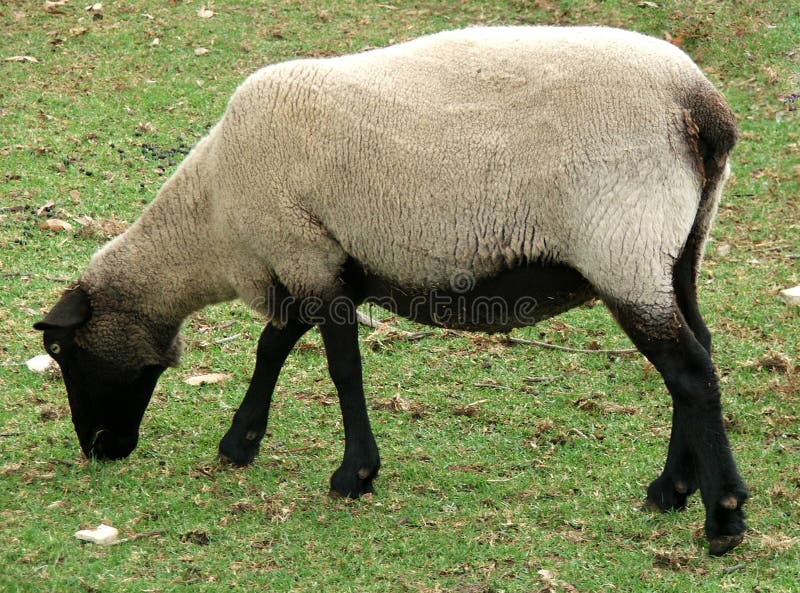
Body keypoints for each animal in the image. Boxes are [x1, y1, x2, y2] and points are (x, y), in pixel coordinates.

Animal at [34, 26, 747, 555]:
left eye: (64, 354)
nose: (100, 451)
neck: (213, 219)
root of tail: (702, 108)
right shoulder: (313, 260)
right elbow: (273, 348)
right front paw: (240, 444)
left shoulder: (303, 252)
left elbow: (340, 368)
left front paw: (354, 475)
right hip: (677, 247)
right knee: (700, 355)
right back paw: (670, 490)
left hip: (623, 245)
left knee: (688, 371)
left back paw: (723, 519)